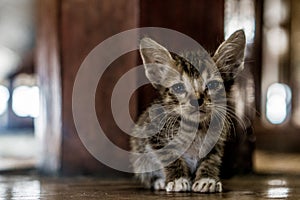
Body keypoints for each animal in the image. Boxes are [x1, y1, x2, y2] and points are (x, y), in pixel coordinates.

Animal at [130, 29, 245, 192]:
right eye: (179, 87)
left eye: (213, 85)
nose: (196, 100)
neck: (196, 128)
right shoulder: (153, 133)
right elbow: (169, 156)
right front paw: (178, 179)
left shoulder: (216, 141)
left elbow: (212, 159)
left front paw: (206, 179)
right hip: (138, 155)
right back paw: (159, 181)